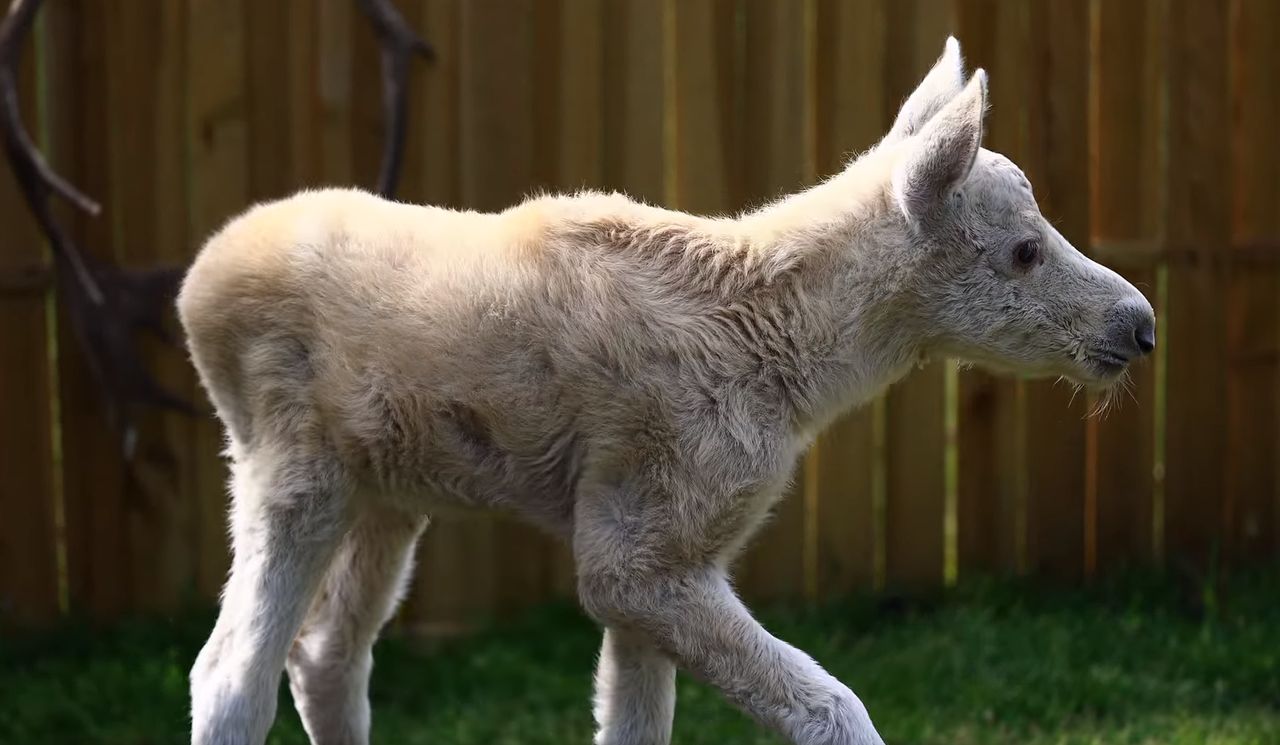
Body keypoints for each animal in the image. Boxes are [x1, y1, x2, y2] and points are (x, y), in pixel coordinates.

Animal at [180, 37, 1152, 745]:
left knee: (326, 659)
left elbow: (637, 724)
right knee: (230, 674)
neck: (793, 366)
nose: (1139, 326)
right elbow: (832, 705)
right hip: (290, 464)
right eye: (1023, 251)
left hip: (388, 490)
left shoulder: (659, 545)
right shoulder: (640, 545)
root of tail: (196, 289)